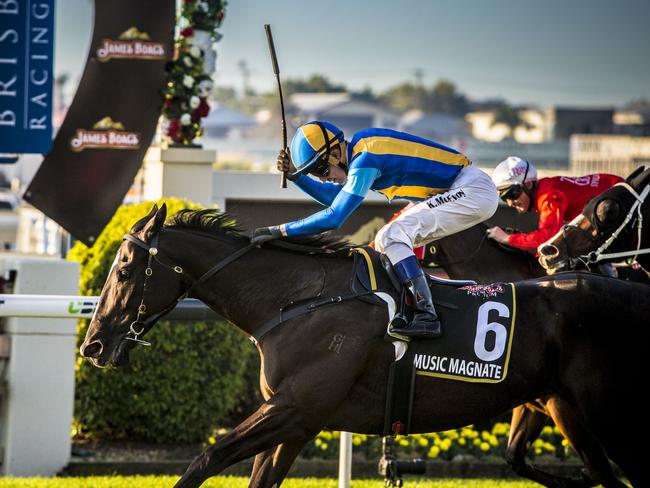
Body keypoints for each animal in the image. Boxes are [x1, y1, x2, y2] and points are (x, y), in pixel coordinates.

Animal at [79, 204, 644, 486]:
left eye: (123, 269)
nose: (94, 346)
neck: (298, 299)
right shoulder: (296, 422)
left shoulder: (295, 408)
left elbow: (205, 459)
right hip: (563, 407)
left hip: (609, 416)